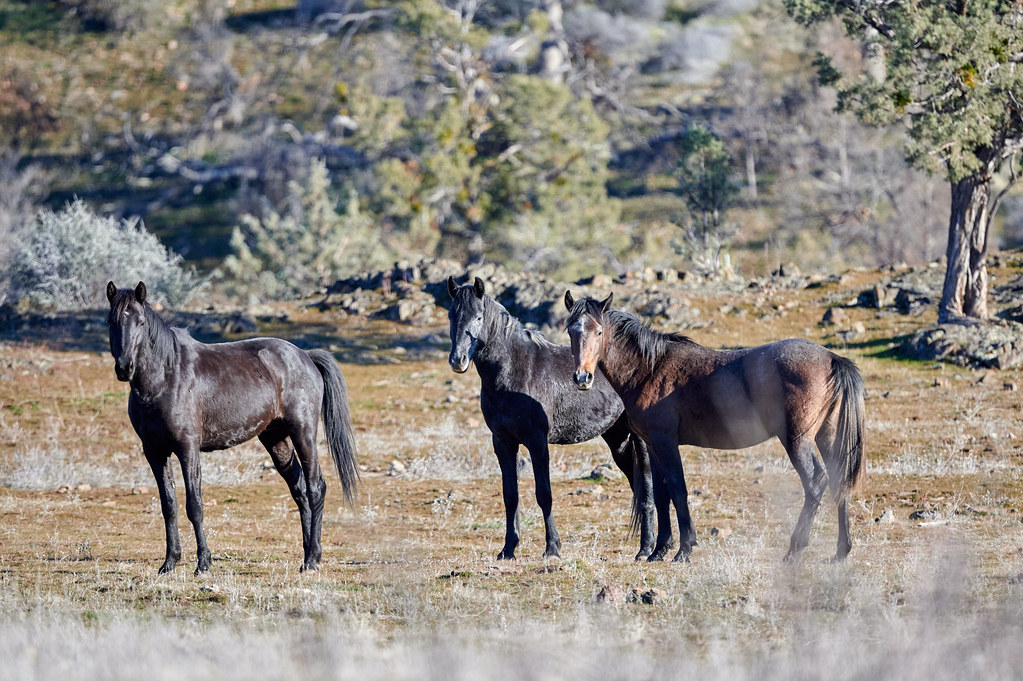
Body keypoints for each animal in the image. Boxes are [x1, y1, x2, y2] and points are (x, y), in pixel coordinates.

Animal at [106, 281, 359, 575]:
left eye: (141, 322)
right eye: (111, 322)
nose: (124, 368)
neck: (165, 378)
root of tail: (305, 356)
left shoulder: (187, 448)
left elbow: (194, 505)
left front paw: (203, 563)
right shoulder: (155, 452)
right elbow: (168, 505)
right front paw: (169, 563)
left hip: (303, 432)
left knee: (316, 487)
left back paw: (312, 560)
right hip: (276, 439)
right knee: (300, 491)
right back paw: (307, 555)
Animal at [447, 276, 664, 560]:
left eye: (479, 317)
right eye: (451, 315)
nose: (457, 360)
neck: (515, 370)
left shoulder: (537, 442)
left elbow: (544, 494)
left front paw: (552, 548)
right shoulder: (503, 442)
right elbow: (510, 495)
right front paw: (508, 549)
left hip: (639, 439)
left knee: (648, 487)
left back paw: (646, 549)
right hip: (618, 439)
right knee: (637, 486)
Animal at [564, 291, 865, 563]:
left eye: (599, 331)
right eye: (571, 330)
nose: (582, 377)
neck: (649, 369)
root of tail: (832, 359)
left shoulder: (665, 443)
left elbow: (678, 490)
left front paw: (683, 550)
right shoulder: (653, 445)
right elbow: (661, 495)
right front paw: (659, 551)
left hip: (797, 440)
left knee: (815, 482)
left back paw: (793, 550)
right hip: (827, 435)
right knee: (838, 480)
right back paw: (841, 551)